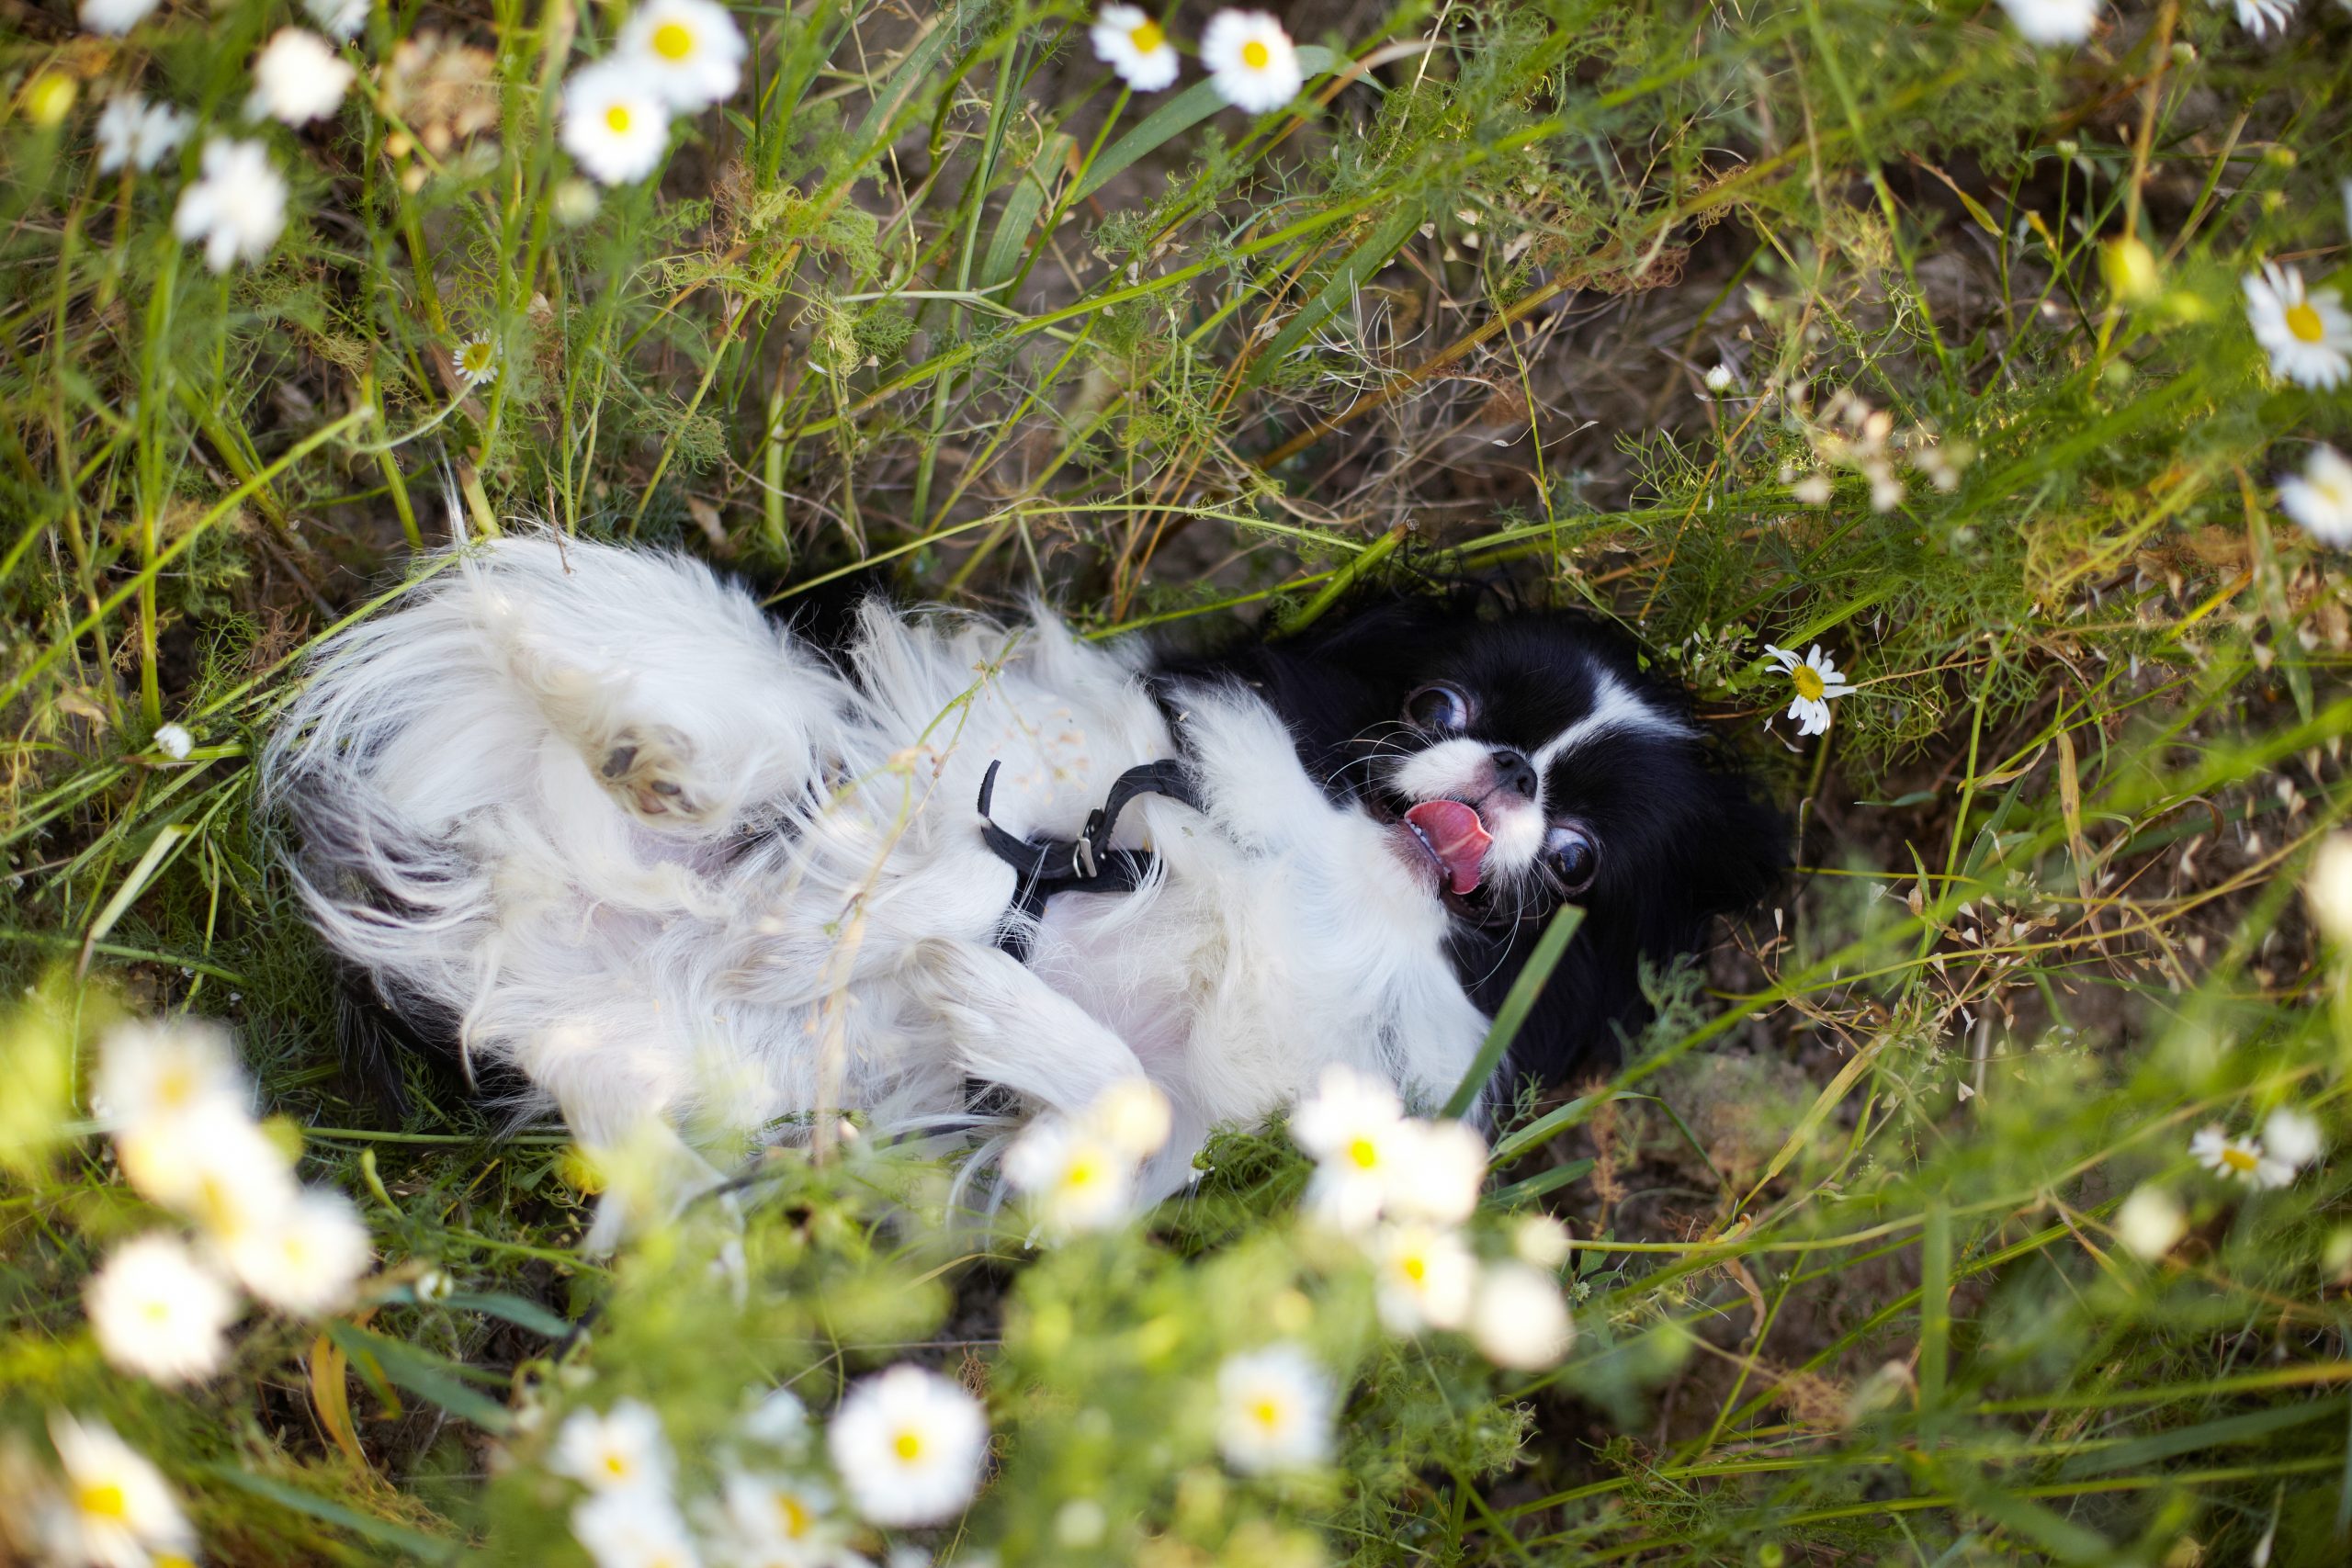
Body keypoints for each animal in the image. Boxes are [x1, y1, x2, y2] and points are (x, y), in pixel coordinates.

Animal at [262, 533, 1778, 1232]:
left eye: (1577, 861)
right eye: (1433, 703)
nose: (1508, 773)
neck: (1314, 887)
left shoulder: (1152, 1139)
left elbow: (1126, 1101)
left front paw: (986, 997)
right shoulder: (1017, 767)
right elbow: (936, 844)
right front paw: (864, 925)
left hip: (664, 1086)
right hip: (710, 705)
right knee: (728, 726)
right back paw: (666, 760)